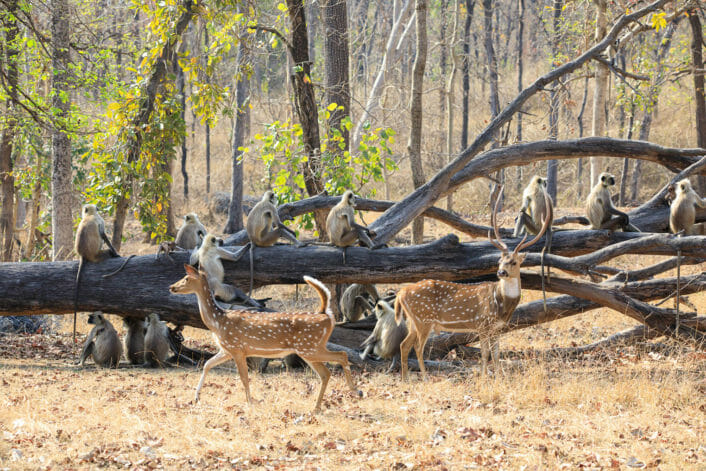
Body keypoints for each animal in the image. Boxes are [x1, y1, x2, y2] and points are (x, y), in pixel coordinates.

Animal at [73, 205, 119, 344]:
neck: (90, 215)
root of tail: (84, 255)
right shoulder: (100, 220)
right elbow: (103, 234)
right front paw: (115, 252)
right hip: (97, 255)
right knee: (106, 250)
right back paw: (113, 254)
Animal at [169, 264, 358, 414]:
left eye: (186, 278)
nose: (171, 287)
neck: (217, 322)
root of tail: (326, 315)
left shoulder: (237, 348)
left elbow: (244, 377)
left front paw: (250, 403)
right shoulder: (227, 349)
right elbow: (207, 364)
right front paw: (196, 397)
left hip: (309, 347)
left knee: (341, 356)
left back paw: (355, 392)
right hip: (310, 349)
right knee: (326, 372)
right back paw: (317, 407)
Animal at [390, 188, 552, 380]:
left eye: (513, 262)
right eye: (499, 260)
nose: (501, 272)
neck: (502, 305)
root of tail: (401, 293)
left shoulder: (497, 328)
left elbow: (495, 354)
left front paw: (498, 377)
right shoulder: (482, 324)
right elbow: (485, 354)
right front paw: (484, 377)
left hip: (413, 321)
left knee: (404, 345)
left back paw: (405, 379)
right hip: (424, 319)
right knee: (417, 347)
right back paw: (425, 377)